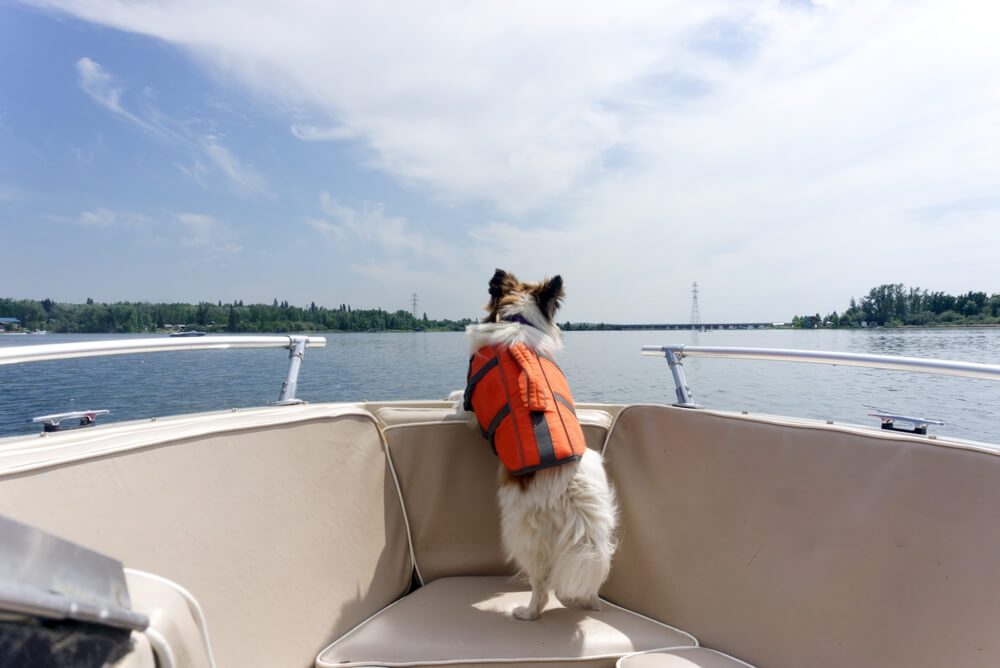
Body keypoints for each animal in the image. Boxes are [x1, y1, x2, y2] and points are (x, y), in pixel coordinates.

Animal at [462, 268, 616, 620]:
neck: (519, 319)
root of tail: (569, 485)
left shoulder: (470, 402)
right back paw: (593, 603)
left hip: (521, 531)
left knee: (541, 584)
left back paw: (526, 612)